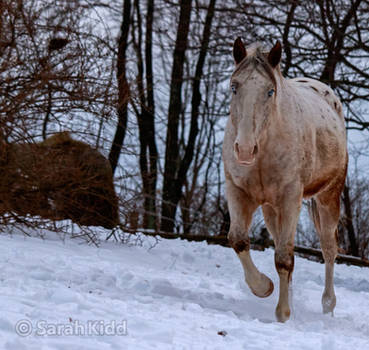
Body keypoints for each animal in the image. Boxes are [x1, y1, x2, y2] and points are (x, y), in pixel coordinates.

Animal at [223, 38, 346, 322]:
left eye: (270, 91)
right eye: (235, 87)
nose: (245, 150)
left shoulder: (291, 198)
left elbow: (284, 258)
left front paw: (283, 313)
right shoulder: (237, 191)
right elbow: (238, 240)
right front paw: (264, 287)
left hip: (328, 197)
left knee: (328, 248)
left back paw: (328, 304)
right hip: (271, 208)